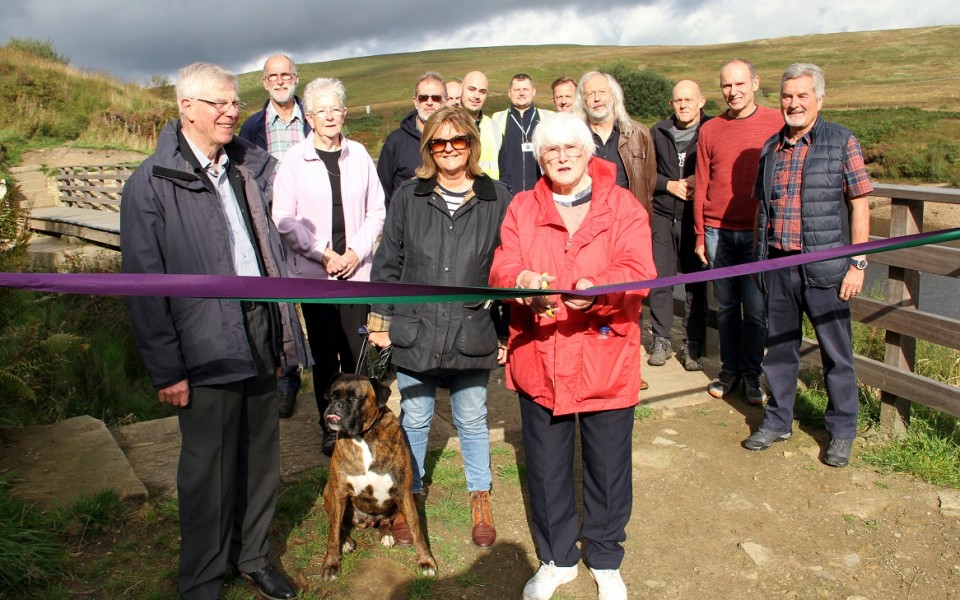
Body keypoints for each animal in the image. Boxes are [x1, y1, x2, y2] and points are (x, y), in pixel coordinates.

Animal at [318, 372, 436, 580]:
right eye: (331, 396)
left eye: (356, 397)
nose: (336, 405)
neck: (363, 436)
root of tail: (366, 521)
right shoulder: (339, 492)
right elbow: (332, 533)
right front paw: (331, 564)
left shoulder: (403, 492)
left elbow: (416, 529)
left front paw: (426, 561)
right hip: (329, 492)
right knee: (340, 525)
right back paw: (346, 542)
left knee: (386, 522)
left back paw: (386, 534)